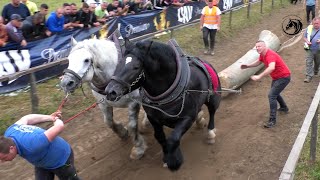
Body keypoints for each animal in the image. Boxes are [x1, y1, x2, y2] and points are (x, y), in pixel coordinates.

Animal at [105, 38, 220, 171]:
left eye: (136, 67)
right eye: (118, 65)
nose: (110, 91)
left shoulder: (187, 117)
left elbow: (173, 139)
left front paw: (174, 161)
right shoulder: (154, 119)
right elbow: (160, 137)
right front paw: (166, 158)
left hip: (213, 98)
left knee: (212, 112)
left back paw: (210, 133)